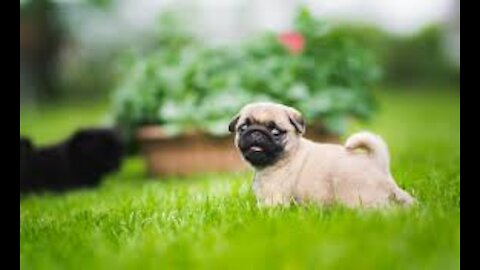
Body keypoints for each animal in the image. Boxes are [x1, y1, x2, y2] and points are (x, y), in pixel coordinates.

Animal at [228, 102, 412, 208]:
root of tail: (377, 162)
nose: (256, 133)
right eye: (243, 128)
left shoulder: (274, 199)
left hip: (361, 196)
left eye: (275, 132)